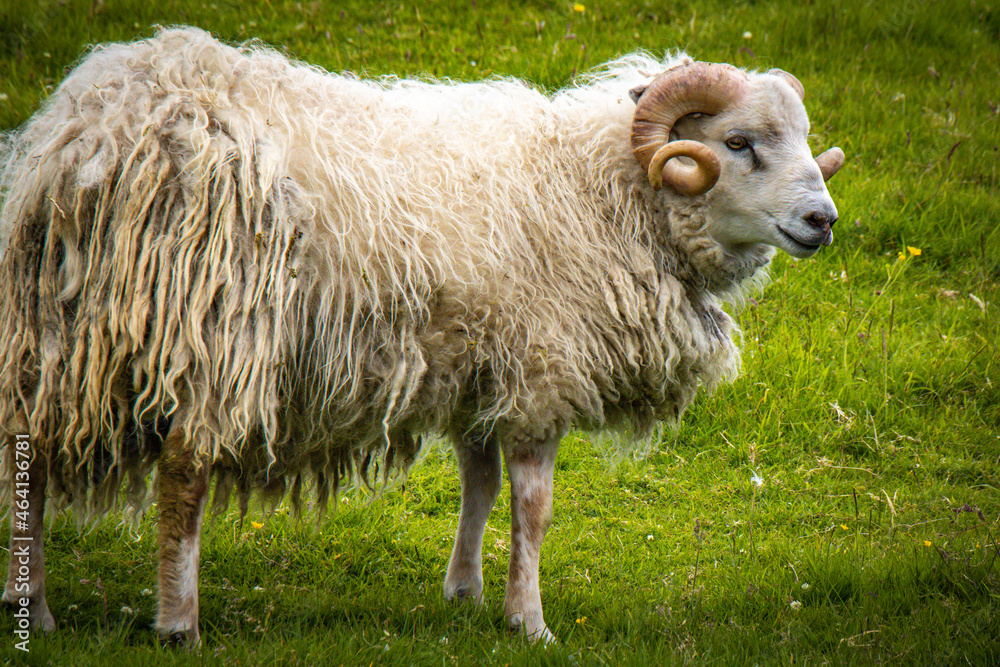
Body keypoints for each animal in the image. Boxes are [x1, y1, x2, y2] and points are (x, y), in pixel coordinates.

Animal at [0, 27, 844, 645]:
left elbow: (480, 481)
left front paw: (464, 590)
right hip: (212, 329)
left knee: (28, 452)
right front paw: (529, 621)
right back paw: (179, 624)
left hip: (55, 331)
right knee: (183, 476)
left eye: (802, 137)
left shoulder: (482, 362)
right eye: (738, 143)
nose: (823, 220)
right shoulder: (543, 370)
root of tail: (90, 136)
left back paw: (31, 605)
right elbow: (533, 505)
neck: (597, 185)